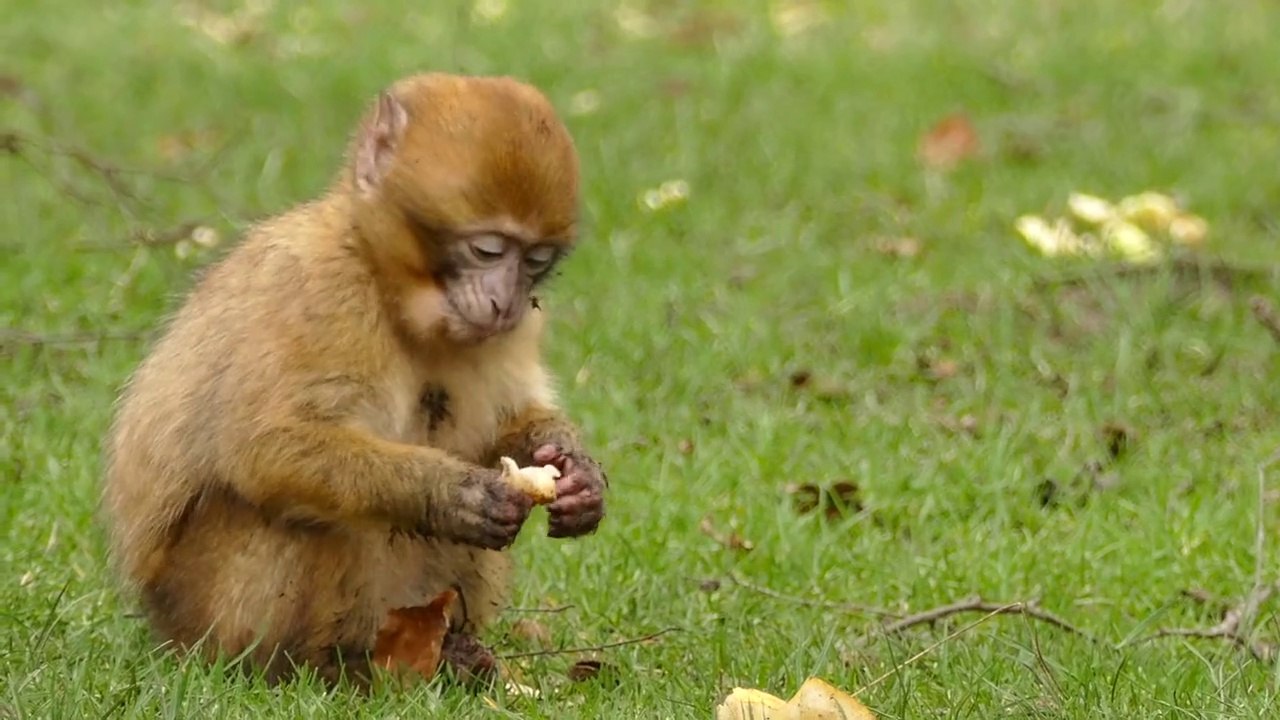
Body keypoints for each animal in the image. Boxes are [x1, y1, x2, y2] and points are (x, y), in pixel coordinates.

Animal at [101, 72, 607, 688]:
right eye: (487, 249)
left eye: (535, 261)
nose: (504, 302)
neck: (388, 288)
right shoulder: (319, 290)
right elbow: (265, 447)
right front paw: (449, 492)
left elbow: (509, 424)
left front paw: (577, 474)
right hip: (204, 612)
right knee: (302, 514)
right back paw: (325, 668)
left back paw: (451, 653)